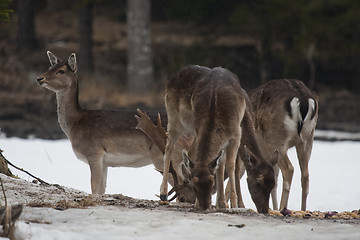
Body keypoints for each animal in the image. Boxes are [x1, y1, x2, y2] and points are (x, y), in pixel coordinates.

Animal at [35, 50, 194, 201]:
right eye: (50, 67)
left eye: (61, 71)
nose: (39, 78)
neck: (75, 124)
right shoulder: (105, 162)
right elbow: (101, 189)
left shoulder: (94, 153)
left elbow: (93, 187)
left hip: (168, 158)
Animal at [249, 79, 320, 210]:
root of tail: (303, 99)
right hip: (307, 139)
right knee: (305, 174)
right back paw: (302, 209)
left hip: (276, 138)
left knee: (289, 169)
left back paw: (283, 208)